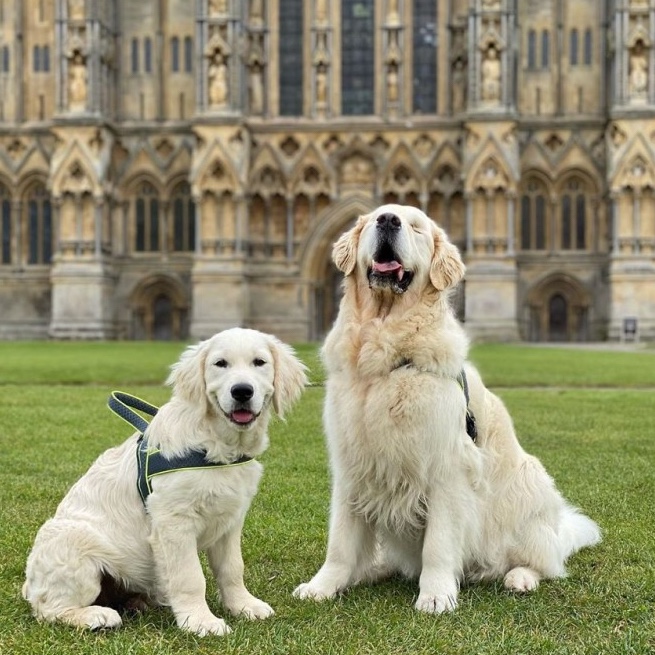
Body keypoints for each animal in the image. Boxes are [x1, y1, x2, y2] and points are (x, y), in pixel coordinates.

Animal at [21, 328, 306, 636]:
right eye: (220, 364)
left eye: (259, 362)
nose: (242, 391)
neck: (216, 444)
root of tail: (30, 584)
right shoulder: (174, 522)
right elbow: (190, 577)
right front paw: (200, 621)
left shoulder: (229, 521)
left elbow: (232, 568)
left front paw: (244, 605)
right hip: (72, 542)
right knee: (48, 608)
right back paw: (95, 615)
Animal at [294, 204, 604, 616]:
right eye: (376, 217)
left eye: (416, 228)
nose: (388, 220)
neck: (386, 355)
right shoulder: (352, 466)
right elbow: (341, 543)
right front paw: (324, 585)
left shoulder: (446, 469)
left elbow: (438, 545)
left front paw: (436, 594)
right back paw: (372, 569)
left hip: (529, 492)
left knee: (543, 562)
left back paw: (520, 577)